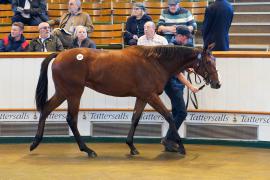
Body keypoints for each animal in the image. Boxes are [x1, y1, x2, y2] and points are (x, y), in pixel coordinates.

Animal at [30, 44, 219, 158]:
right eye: (208, 62)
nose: (217, 83)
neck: (155, 62)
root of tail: (60, 54)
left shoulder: (142, 97)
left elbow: (135, 119)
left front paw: (131, 146)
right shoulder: (151, 96)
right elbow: (169, 116)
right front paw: (180, 147)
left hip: (64, 93)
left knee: (46, 109)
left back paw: (35, 143)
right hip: (73, 93)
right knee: (71, 119)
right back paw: (88, 150)